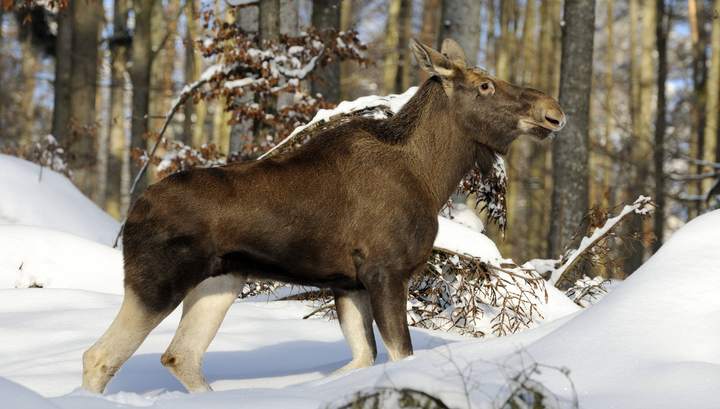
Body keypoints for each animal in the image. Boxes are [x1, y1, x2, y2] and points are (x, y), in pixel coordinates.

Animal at [84, 38, 564, 392]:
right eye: (484, 86)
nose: (553, 112)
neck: (432, 177)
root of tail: (132, 212)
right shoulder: (385, 270)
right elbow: (398, 355)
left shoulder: (348, 283)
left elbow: (363, 358)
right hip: (157, 282)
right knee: (99, 357)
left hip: (221, 281)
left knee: (180, 356)